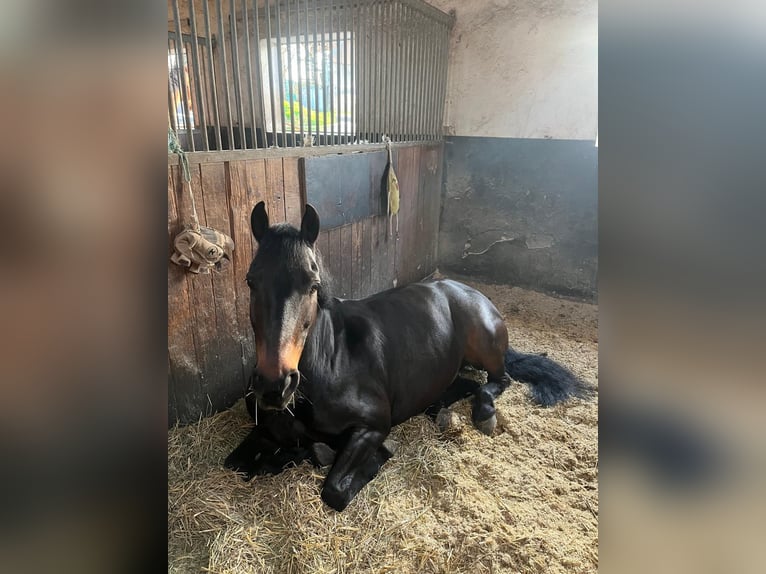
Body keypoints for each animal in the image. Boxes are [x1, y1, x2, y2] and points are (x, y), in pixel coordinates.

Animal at [225, 202, 593, 511]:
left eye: (312, 284)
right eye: (251, 281)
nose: (275, 385)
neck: (329, 364)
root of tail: (470, 292)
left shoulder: (372, 427)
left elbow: (334, 489)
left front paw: (367, 458)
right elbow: (236, 461)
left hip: (484, 345)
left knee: (499, 379)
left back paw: (484, 414)